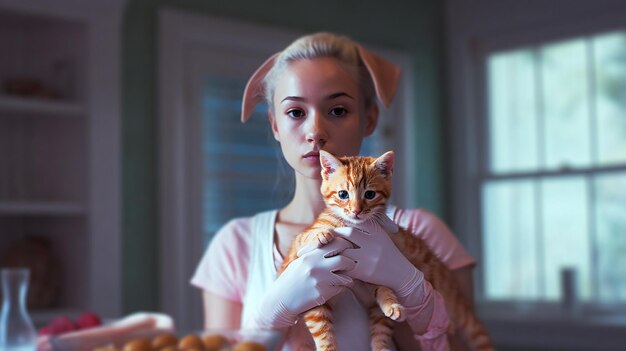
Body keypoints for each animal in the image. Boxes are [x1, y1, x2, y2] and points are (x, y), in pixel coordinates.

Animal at [278, 151, 492, 351]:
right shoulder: (312, 287)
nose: (356, 211)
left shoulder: (374, 269)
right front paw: (321, 234)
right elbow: (321, 327)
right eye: (343, 194)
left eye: (370, 194)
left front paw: (392, 304)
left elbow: (384, 288)